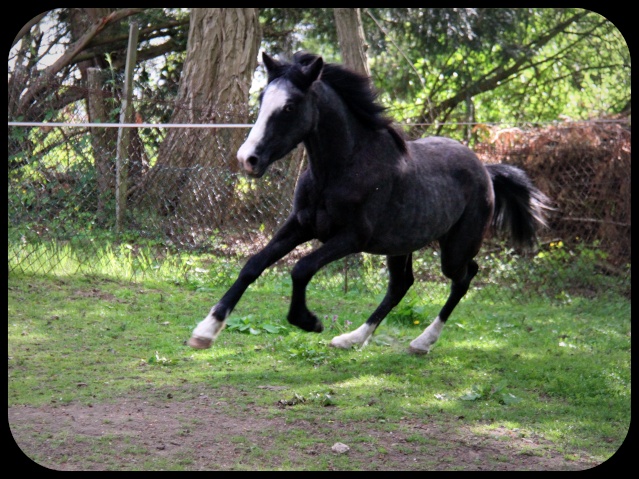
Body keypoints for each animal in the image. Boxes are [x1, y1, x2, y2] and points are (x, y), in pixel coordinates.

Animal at [188, 52, 552, 354]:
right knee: (401, 285)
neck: (341, 169)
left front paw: (309, 321)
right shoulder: (301, 225)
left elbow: (301, 268)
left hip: (454, 248)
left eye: (289, 107)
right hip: (401, 245)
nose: (247, 159)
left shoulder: (351, 238)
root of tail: (486, 169)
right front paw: (205, 331)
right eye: (263, 99)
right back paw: (352, 339)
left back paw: (422, 342)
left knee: (463, 277)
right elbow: (253, 265)